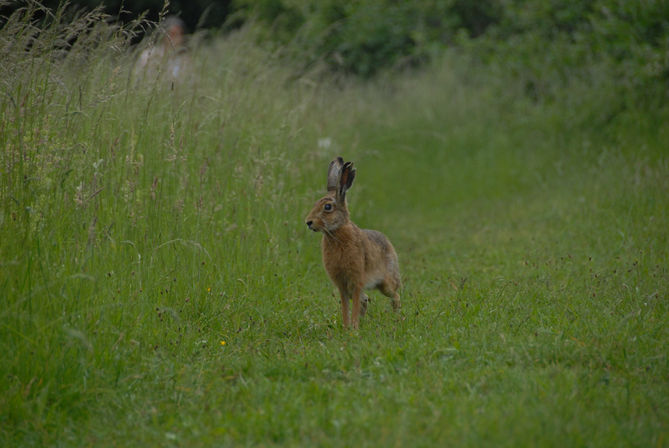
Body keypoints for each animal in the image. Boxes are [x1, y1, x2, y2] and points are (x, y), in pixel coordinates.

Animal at [305, 157, 401, 329]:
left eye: (327, 207)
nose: (308, 222)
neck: (336, 232)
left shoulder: (356, 280)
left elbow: (355, 305)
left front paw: (354, 329)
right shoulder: (342, 285)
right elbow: (346, 306)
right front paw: (346, 327)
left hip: (386, 283)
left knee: (395, 296)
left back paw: (396, 317)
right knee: (366, 300)